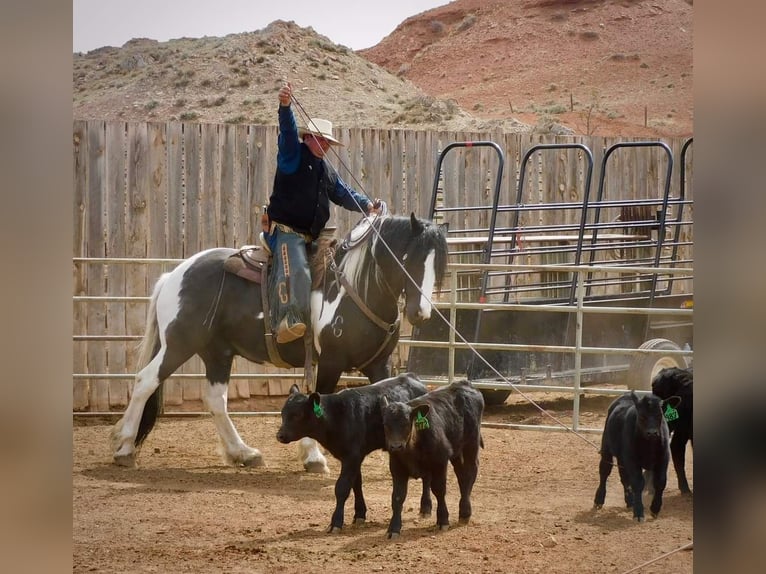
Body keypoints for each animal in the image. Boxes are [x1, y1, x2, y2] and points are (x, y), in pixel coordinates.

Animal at [113, 215, 450, 472]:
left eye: (439, 265)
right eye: (407, 260)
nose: (420, 313)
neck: (356, 289)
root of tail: (175, 274)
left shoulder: (379, 364)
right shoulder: (330, 362)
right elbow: (318, 401)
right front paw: (313, 457)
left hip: (217, 353)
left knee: (216, 400)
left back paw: (243, 453)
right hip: (179, 343)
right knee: (145, 381)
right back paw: (125, 448)